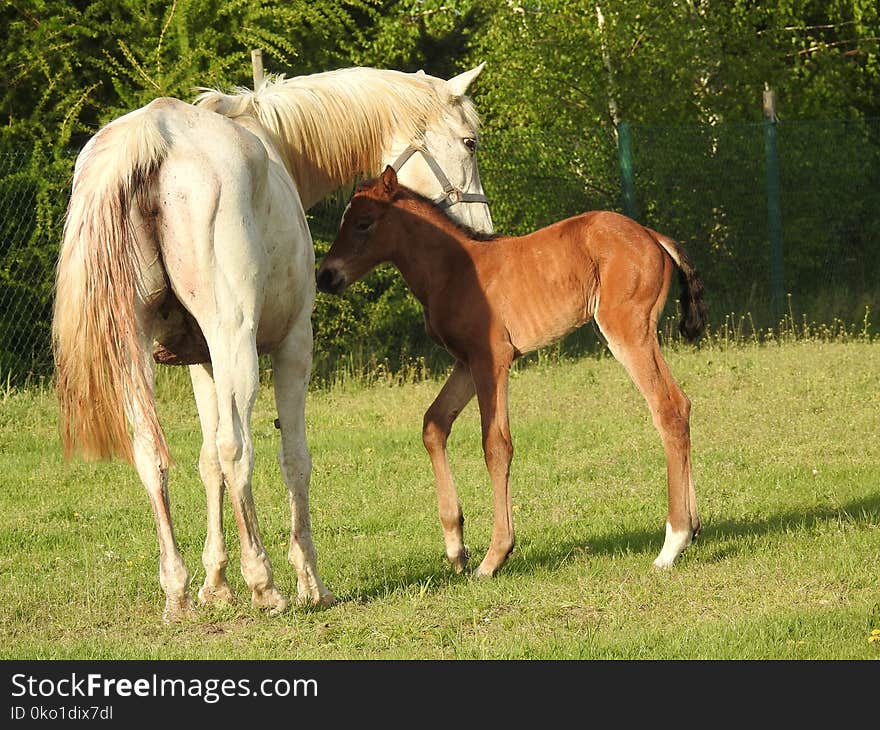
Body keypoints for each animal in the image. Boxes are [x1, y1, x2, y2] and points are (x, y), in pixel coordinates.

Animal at [53, 64, 496, 620]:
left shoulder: (203, 364)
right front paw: (310, 581)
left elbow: (206, 463)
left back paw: (178, 591)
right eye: (470, 142)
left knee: (154, 454)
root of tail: (153, 137)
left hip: (135, 355)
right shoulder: (292, 348)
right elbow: (293, 459)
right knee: (237, 450)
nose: (482, 232)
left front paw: (215, 584)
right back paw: (264, 584)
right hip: (237, 347)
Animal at [318, 165, 708, 576]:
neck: (453, 269)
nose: (325, 276)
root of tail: (652, 235)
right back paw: (692, 528)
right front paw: (456, 548)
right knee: (680, 407)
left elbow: (496, 445)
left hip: (627, 330)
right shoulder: (465, 363)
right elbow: (434, 425)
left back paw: (672, 543)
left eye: (363, 223)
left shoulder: (492, 360)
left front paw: (494, 556)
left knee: (668, 407)